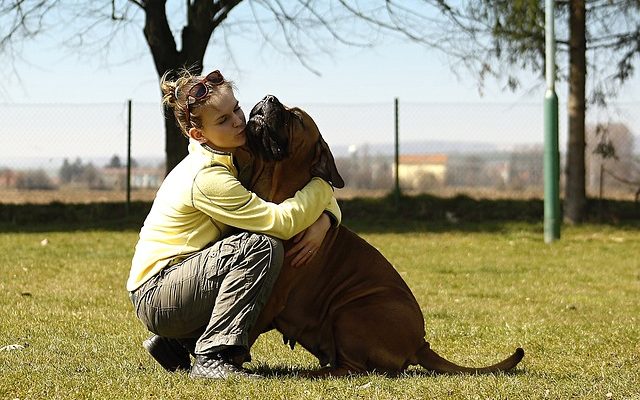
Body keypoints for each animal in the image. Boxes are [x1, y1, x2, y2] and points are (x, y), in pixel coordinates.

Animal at [238, 95, 524, 376]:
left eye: (296, 117)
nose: (268, 97)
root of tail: (420, 344)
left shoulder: (271, 297)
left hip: (350, 313)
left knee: (351, 369)